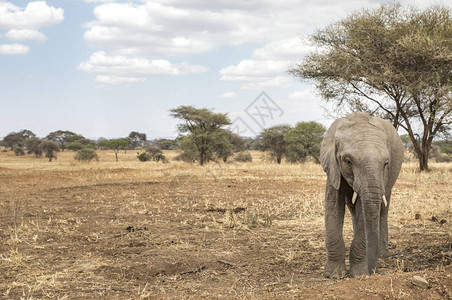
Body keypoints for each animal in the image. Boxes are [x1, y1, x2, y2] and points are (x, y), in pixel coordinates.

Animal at [320, 111, 404, 278]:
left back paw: (382, 255)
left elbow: (364, 212)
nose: (374, 270)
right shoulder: (333, 167)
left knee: (382, 210)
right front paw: (333, 275)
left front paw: (359, 274)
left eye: (386, 163)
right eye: (348, 161)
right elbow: (333, 205)